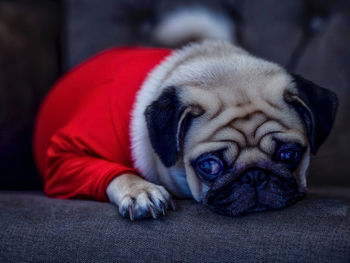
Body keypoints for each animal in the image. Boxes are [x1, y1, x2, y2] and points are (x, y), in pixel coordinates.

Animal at [34, 40, 338, 221]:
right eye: (209, 165)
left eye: (289, 155)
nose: (255, 176)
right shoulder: (61, 158)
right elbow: (117, 172)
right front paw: (141, 190)